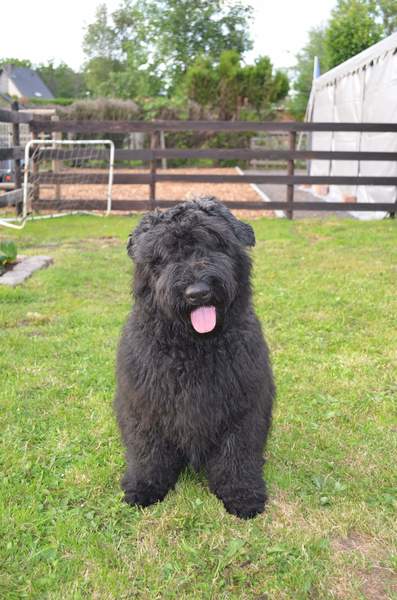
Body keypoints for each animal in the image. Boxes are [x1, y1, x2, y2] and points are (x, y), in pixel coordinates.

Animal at [114, 198, 274, 520]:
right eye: (162, 254)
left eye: (213, 242)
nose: (197, 293)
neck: (194, 348)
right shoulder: (144, 404)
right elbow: (147, 450)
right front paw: (144, 486)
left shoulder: (243, 407)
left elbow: (238, 453)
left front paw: (242, 494)